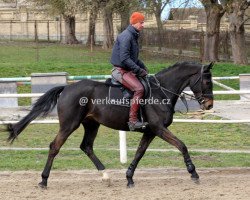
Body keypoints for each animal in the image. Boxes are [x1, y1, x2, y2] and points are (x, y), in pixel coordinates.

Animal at [5, 61, 214, 188]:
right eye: (206, 81)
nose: (210, 105)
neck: (161, 91)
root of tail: (67, 88)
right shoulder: (159, 129)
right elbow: (182, 145)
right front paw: (193, 173)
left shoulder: (150, 131)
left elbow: (139, 152)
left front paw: (129, 177)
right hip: (69, 125)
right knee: (54, 146)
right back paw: (44, 180)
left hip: (91, 124)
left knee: (86, 147)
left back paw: (106, 176)